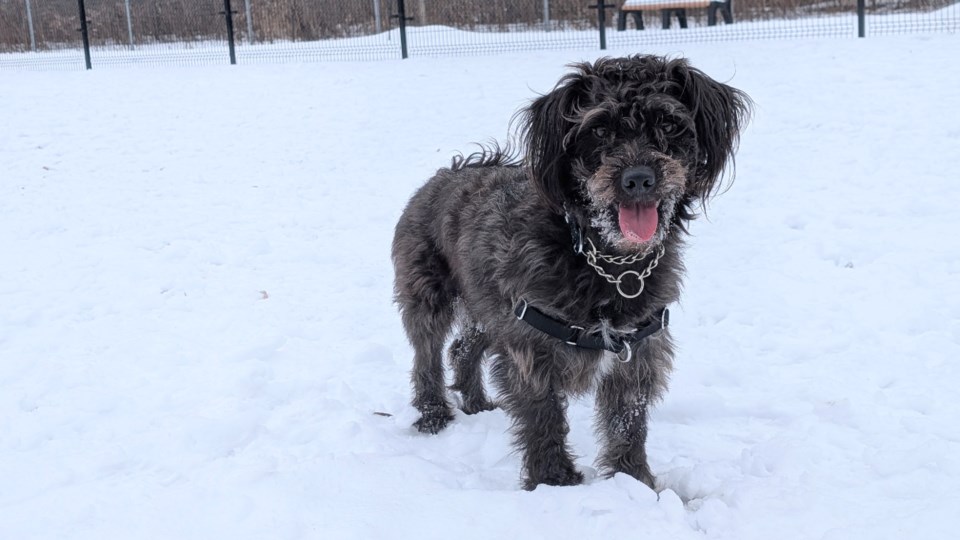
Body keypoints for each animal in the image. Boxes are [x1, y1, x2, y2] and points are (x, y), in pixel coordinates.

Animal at [390, 54, 752, 490]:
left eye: (668, 124)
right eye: (598, 129)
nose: (638, 179)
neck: (606, 261)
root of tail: (448, 171)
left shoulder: (637, 350)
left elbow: (628, 423)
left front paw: (635, 481)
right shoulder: (530, 348)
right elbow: (542, 416)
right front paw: (553, 481)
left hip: (487, 310)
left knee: (462, 348)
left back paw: (475, 402)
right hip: (429, 298)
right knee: (426, 356)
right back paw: (433, 414)